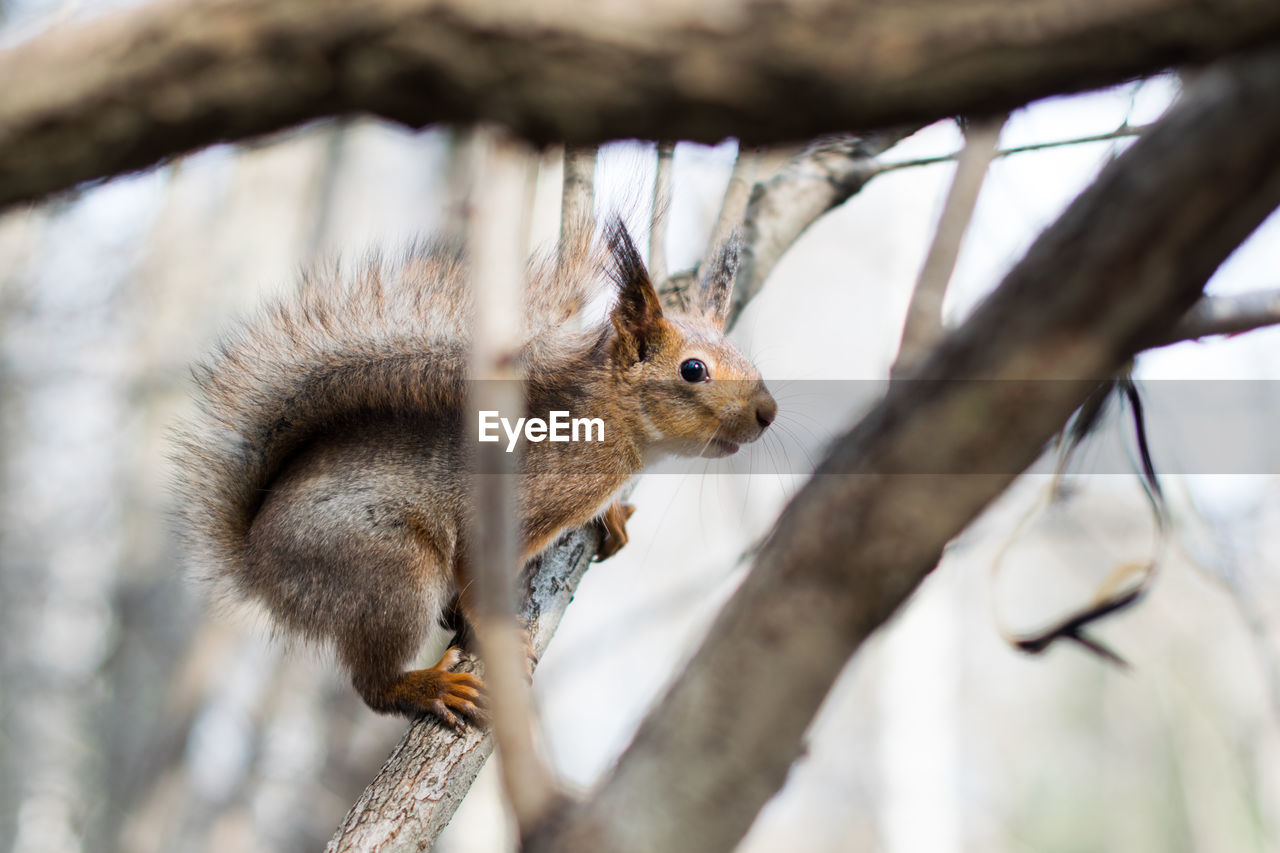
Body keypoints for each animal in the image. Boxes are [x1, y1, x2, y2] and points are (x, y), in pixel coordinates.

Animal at [175, 217, 773, 722]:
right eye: (693, 370)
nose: (768, 413)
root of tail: (255, 563)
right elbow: (478, 572)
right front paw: (497, 633)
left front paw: (611, 516)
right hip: (387, 571)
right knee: (373, 684)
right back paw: (427, 686)